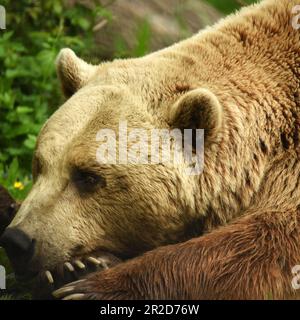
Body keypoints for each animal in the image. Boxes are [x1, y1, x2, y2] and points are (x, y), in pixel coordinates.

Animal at [0, 0, 300, 300]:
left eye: (88, 177)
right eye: (39, 164)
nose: (18, 241)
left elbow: (269, 242)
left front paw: (91, 286)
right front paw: (77, 266)